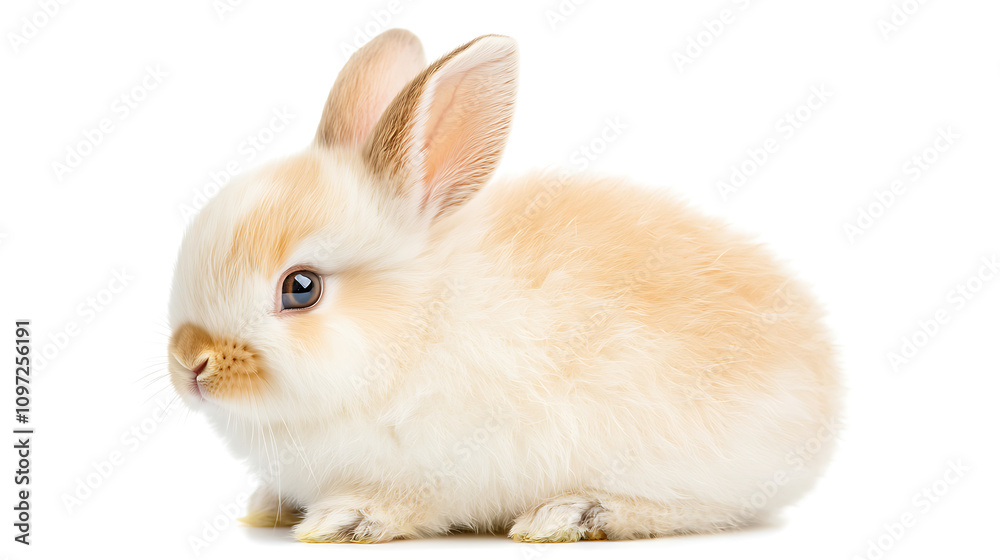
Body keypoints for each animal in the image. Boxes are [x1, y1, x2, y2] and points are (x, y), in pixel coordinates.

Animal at [167, 28, 840, 543]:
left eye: (301, 288)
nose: (189, 362)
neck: (416, 326)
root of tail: (826, 391)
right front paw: (268, 507)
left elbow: (406, 502)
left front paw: (344, 521)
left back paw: (572, 515)